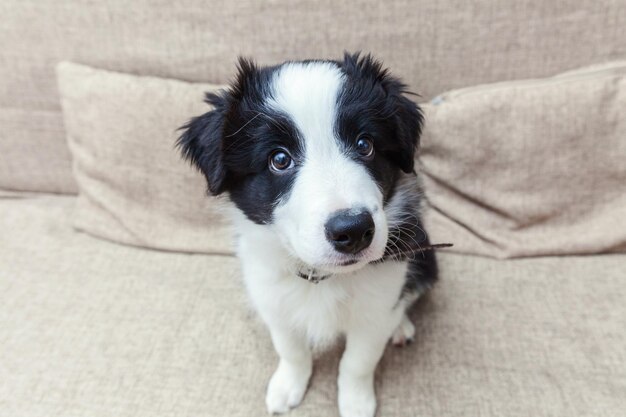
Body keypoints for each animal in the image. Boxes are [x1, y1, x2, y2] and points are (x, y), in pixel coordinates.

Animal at [178, 52, 436, 416]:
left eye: (365, 145)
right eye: (279, 159)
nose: (354, 230)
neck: (320, 276)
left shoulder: (376, 305)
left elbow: (358, 362)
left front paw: (355, 402)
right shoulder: (273, 301)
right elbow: (291, 350)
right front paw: (287, 386)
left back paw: (399, 325)